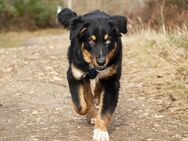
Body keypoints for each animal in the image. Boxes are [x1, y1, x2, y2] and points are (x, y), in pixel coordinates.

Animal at [57, 8, 128, 141]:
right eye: (91, 41)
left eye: (108, 41)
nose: (101, 61)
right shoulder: (74, 74)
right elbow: (80, 105)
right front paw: (88, 112)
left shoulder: (112, 82)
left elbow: (104, 111)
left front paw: (100, 131)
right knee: (87, 93)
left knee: (97, 87)